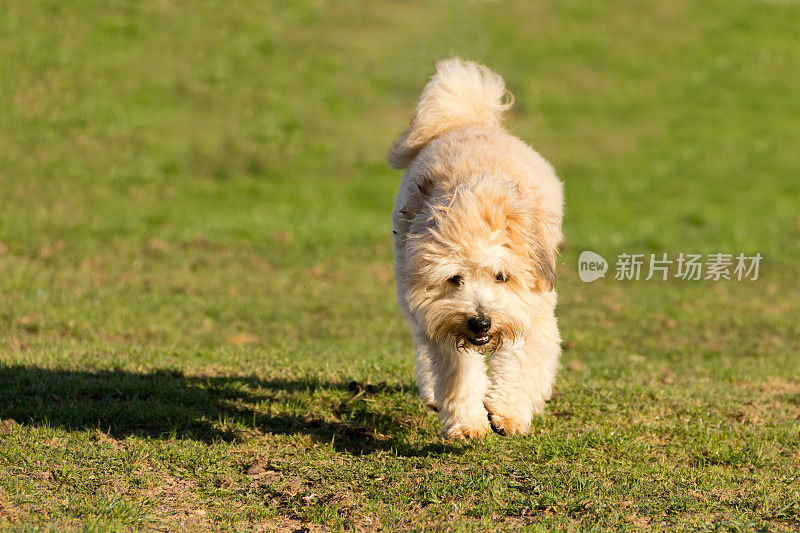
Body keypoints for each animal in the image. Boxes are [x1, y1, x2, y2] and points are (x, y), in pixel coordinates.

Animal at [388, 60, 564, 438]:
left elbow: (521, 360)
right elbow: (459, 373)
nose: (481, 323)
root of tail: (470, 121)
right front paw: (468, 423)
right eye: (455, 278)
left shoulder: (533, 306)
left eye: (501, 276)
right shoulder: (439, 314)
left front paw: (509, 412)